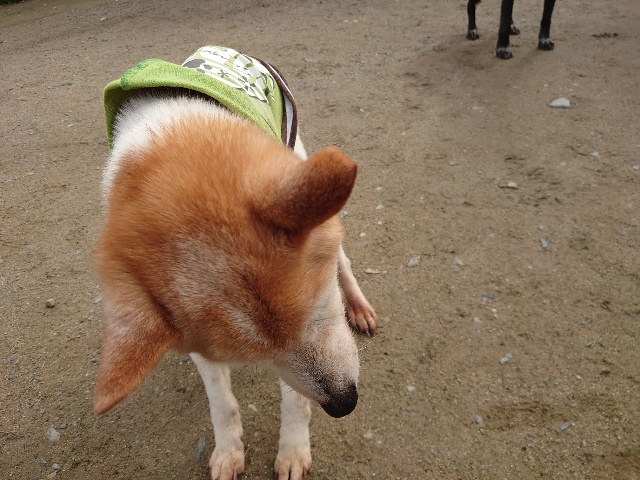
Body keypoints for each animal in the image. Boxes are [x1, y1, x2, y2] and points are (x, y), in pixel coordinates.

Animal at [94, 46, 377, 480]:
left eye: (322, 308)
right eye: (255, 356)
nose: (344, 404)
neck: (170, 143)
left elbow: (295, 399)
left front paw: (293, 448)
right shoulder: (196, 346)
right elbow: (221, 402)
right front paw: (228, 450)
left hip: (298, 159)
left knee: (343, 256)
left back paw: (360, 307)